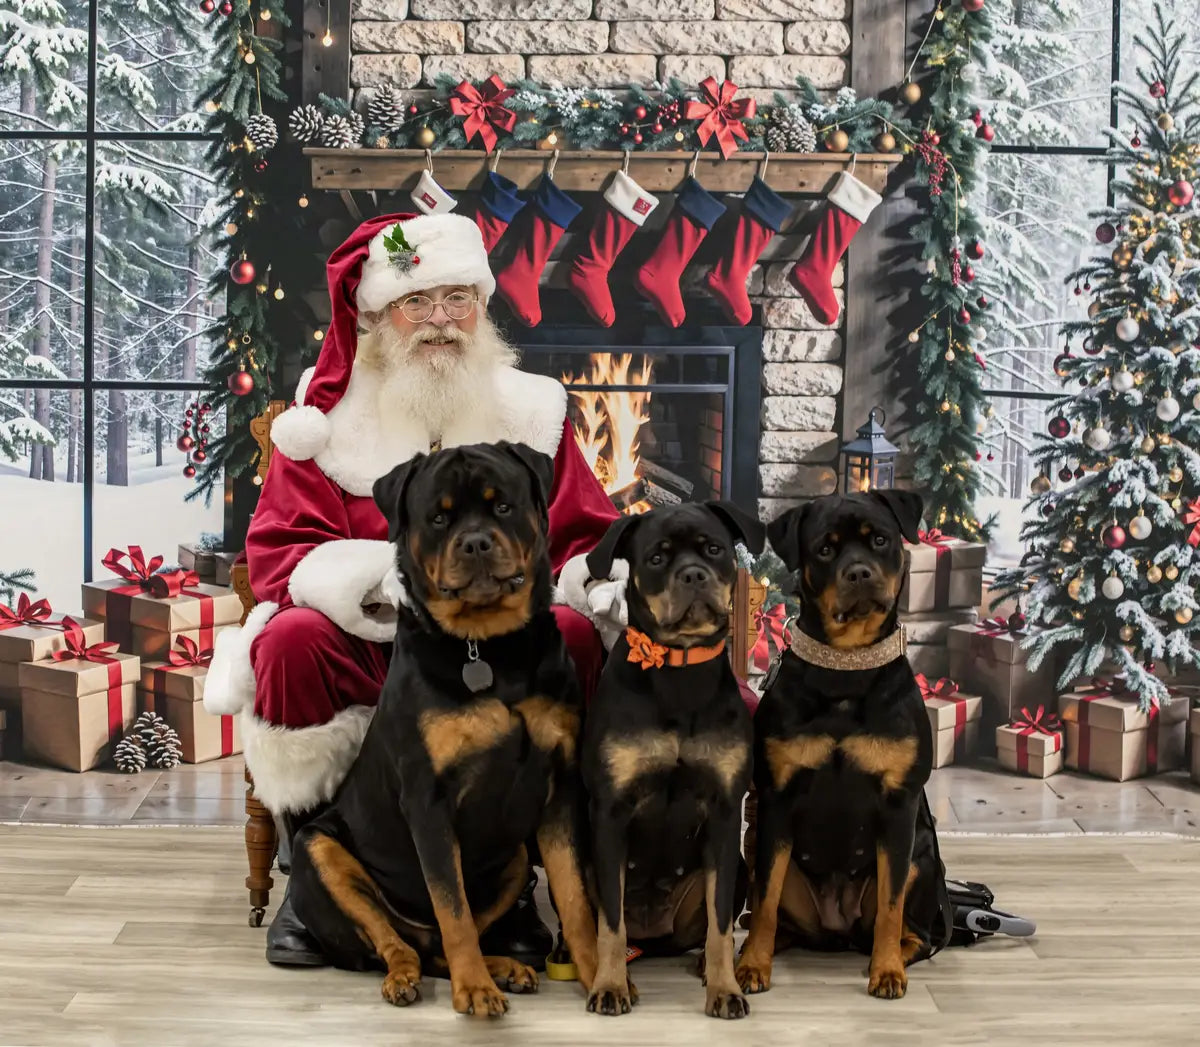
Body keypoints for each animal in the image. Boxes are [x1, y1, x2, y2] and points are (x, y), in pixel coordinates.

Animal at [286, 441, 604, 1013]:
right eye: (438, 518)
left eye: (503, 506)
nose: (475, 542)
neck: (491, 650)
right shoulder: (429, 800)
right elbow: (451, 907)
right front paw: (473, 990)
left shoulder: (560, 789)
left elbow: (573, 897)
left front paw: (597, 976)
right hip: (318, 850)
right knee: (395, 940)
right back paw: (407, 977)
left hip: (515, 858)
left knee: (442, 940)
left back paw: (506, 967)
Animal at [583, 501, 768, 1018]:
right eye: (657, 558)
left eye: (714, 549)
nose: (693, 575)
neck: (679, 668)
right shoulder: (610, 814)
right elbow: (610, 924)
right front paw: (610, 985)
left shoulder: (725, 812)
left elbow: (721, 923)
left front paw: (725, 989)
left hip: (738, 867)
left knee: (708, 926)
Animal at [734, 489, 940, 998]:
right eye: (825, 550)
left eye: (881, 540)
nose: (859, 572)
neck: (846, 666)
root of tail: (838, 930)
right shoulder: (778, 799)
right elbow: (765, 899)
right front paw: (753, 966)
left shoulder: (899, 806)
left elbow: (890, 907)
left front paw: (886, 971)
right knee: (772, 907)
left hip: (921, 859)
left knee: (917, 931)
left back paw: (896, 954)